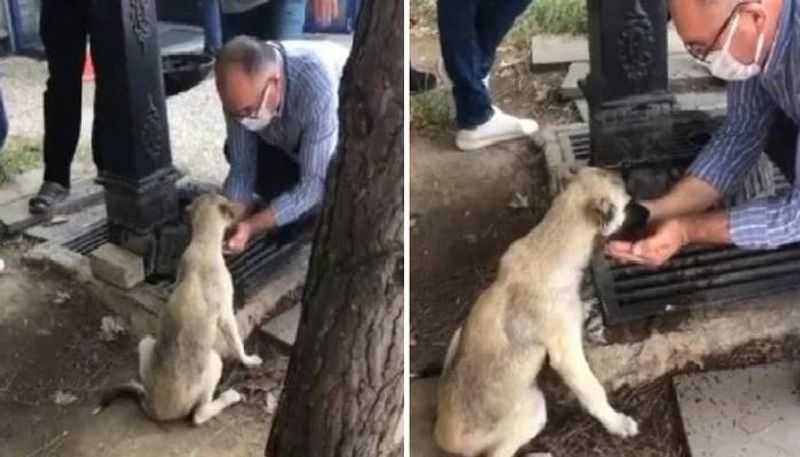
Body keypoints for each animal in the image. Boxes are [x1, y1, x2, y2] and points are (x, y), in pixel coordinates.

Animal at [95, 191, 260, 422]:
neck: (202, 243)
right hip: (214, 361)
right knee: (199, 415)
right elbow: (237, 343)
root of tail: (153, 406)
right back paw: (229, 397)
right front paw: (249, 360)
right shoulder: (227, 315)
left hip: (146, 342)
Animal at [434, 167, 640, 456]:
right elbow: (593, 391)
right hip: (533, 410)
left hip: (458, 334)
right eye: (628, 203)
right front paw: (617, 423)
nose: (650, 212)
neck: (550, 245)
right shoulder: (568, 356)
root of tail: (442, 437)